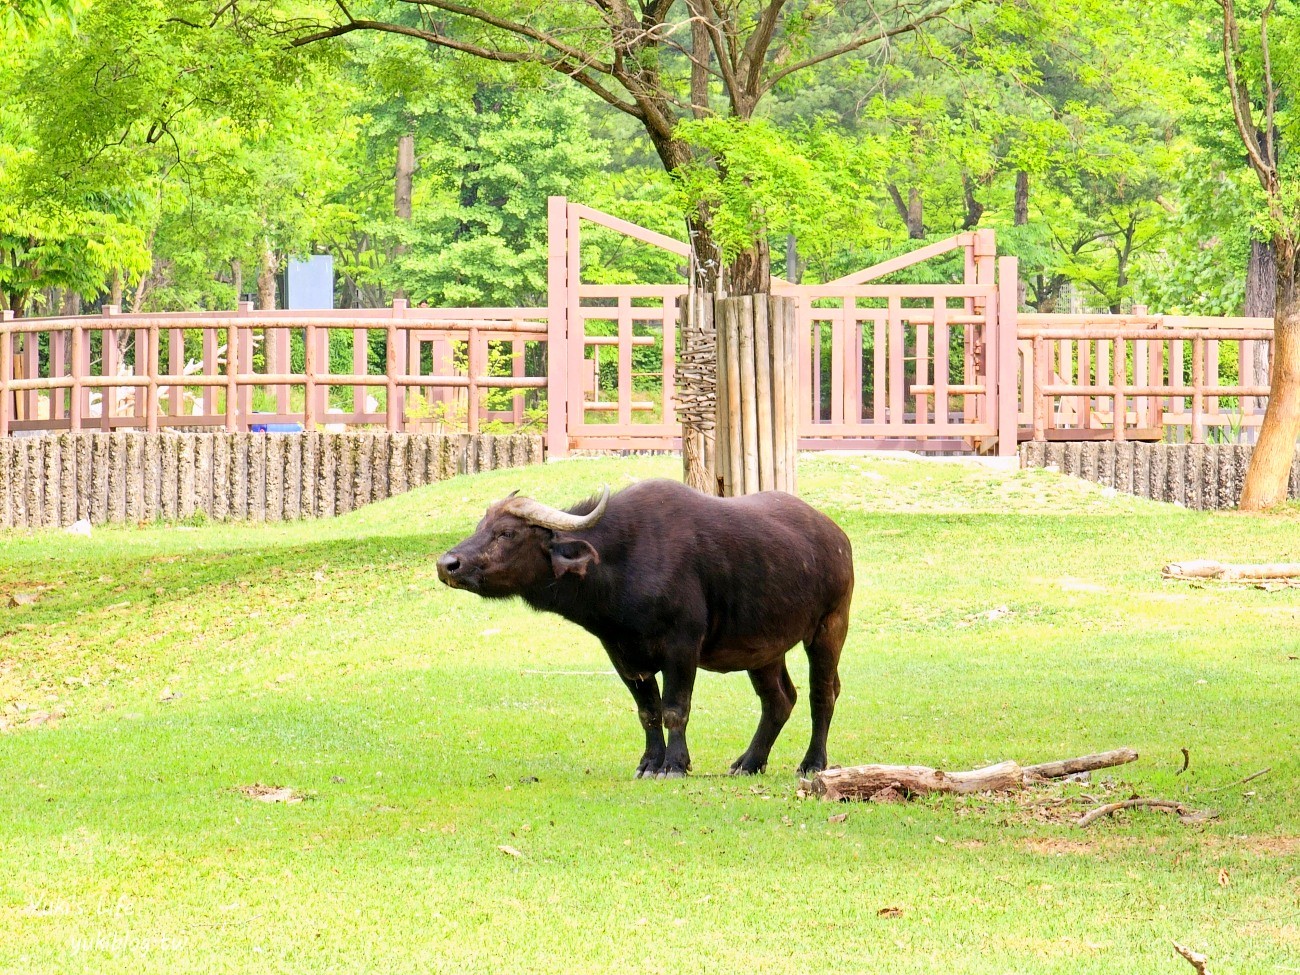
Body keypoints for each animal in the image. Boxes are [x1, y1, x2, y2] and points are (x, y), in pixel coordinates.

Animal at [439, 478, 852, 780]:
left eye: (507, 533)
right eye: (481, 526)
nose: (448, 564)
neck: (621, 563)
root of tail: (836, 536)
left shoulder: (682, 648)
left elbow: (674, 709)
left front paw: (674, 765)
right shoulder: (622, 653)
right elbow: (648, 712)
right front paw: (650, 763)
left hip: (829, 627)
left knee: (822, 694)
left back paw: (813, 763)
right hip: (763, 648)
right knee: (778, 700)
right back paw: (749, 762)